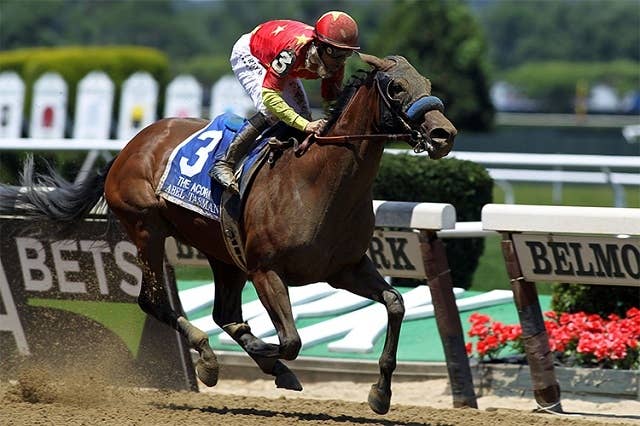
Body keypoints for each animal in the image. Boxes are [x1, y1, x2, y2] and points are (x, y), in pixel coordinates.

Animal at [0, 54, 456, 414]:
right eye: (396, 87)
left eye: (429, 85)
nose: (444, 134)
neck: (317, 183)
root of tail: (129, 147)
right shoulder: (266, 270)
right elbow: (290, 340)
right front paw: (267, 359)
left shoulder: (345, 268)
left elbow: (395, 303)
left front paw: (380, 393)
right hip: (148, 228)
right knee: (154, 301)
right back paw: (209, 357)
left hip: (222, 250)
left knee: (224, 313)